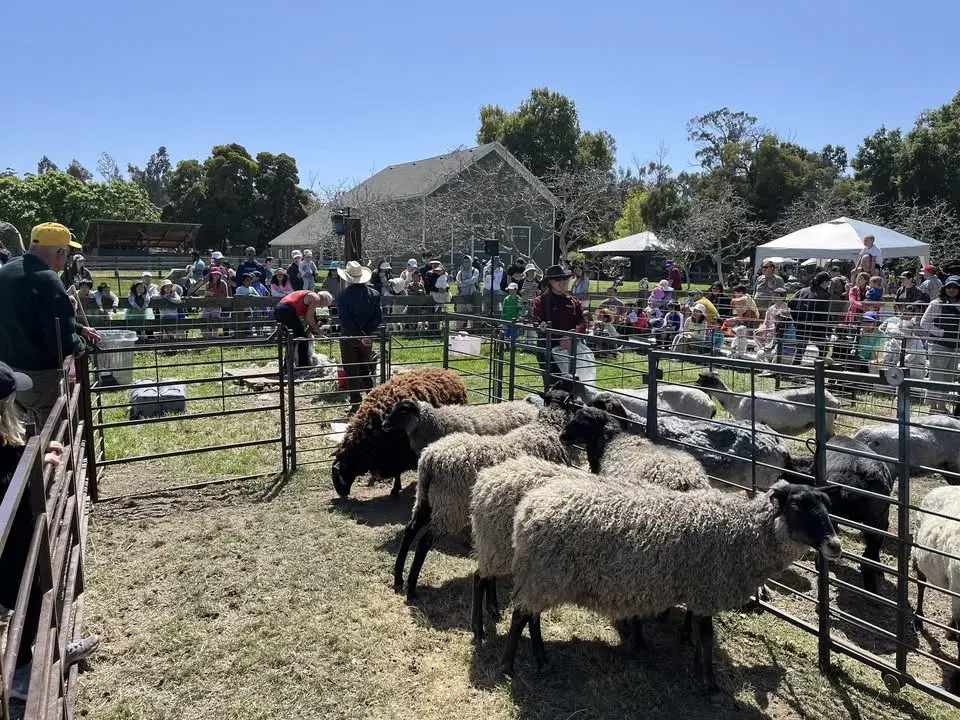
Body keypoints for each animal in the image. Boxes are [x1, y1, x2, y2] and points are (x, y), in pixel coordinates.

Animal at [331, 368, 468, 498]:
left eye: (337, 476)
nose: (341, 494)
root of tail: (448, 372)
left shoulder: (399, 453)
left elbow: (397, 472)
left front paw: (395, 489)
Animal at [503, 478, 842, 692]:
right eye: (797, 506)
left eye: (827, 507)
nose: (835, 546)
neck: (743, 532)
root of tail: (529, 507)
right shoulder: (706, 589)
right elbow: (707, 637)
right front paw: (710, 684)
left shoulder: (699, 593)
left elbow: (701, 638)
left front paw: (696, 669)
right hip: (542, 574)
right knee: (520, 616)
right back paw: (509, 666)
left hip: (541, 577)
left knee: (531, 616)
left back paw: (541, 659)